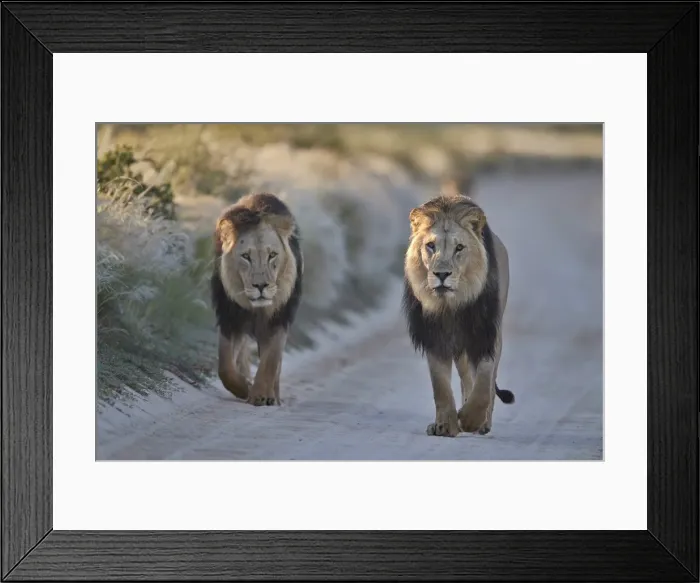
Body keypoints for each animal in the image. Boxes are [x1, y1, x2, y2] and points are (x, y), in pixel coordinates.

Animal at [210, 192, 303, 406]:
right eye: (246, 256)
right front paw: (245, 387)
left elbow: (270, 362)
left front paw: (261, 394)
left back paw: (274, 396)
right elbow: (225, 368)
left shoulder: (279, 320)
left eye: (272, 255)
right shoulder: (231, 319)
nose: (261, 286)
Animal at [401, 193, 514, 437]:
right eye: (430, 246)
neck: (450, 305)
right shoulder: (435, 337)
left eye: (460, 247)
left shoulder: (485, 333)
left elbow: (484, 379)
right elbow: (441, 387)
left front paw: (472, 419)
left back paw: (482, 424)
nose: (442, 274)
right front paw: (445, 425)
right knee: (465, 377)